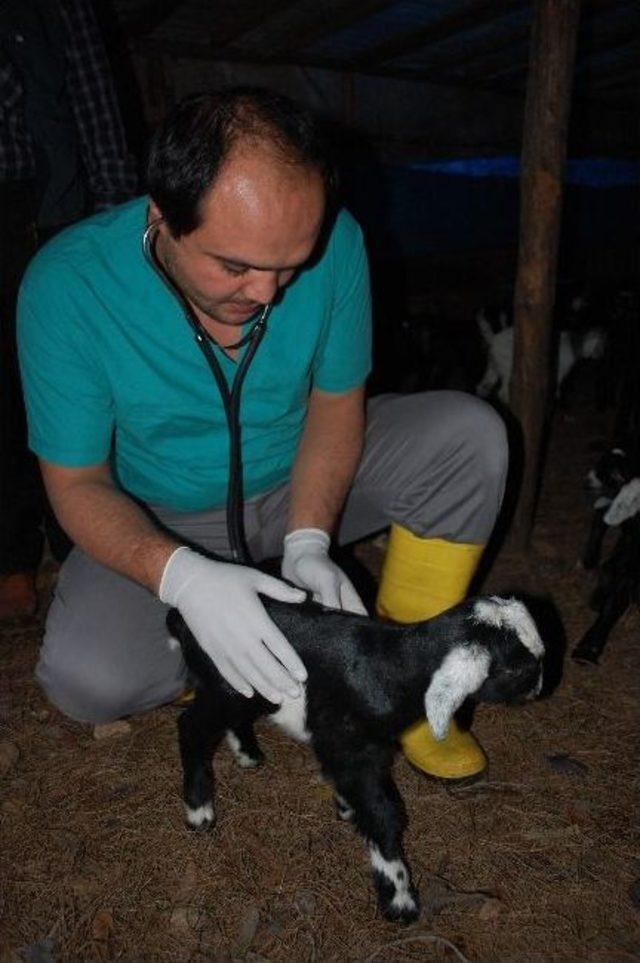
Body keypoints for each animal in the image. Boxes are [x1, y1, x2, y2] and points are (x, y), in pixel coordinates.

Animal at [166, 592, 544, 924]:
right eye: (517, 670)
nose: (540, 689)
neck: (395, 665)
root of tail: (181, 619)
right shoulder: (354, 746)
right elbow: (384, 815)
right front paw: (399, 899)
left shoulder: (350, 746)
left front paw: (347, 806)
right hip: (224, 685)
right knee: (191, 727)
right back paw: (199, 810)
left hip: (249, 687)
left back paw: (247, 754)